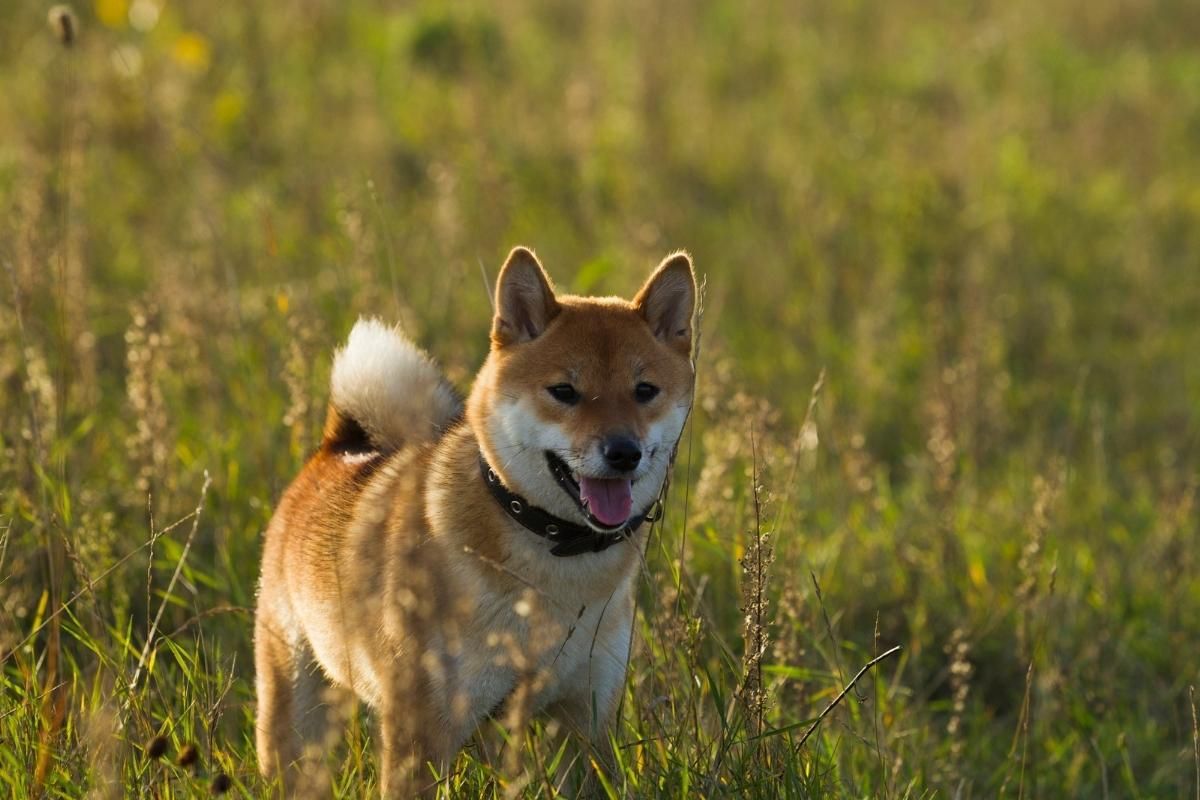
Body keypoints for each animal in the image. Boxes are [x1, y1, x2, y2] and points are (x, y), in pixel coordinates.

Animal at [258, 248, 700, 796]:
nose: (623, 452)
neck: (553, 567)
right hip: (296, 708)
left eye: (644, 391)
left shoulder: (586, 720)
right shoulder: (419, 734)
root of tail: (340, 448)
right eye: (564, 392)